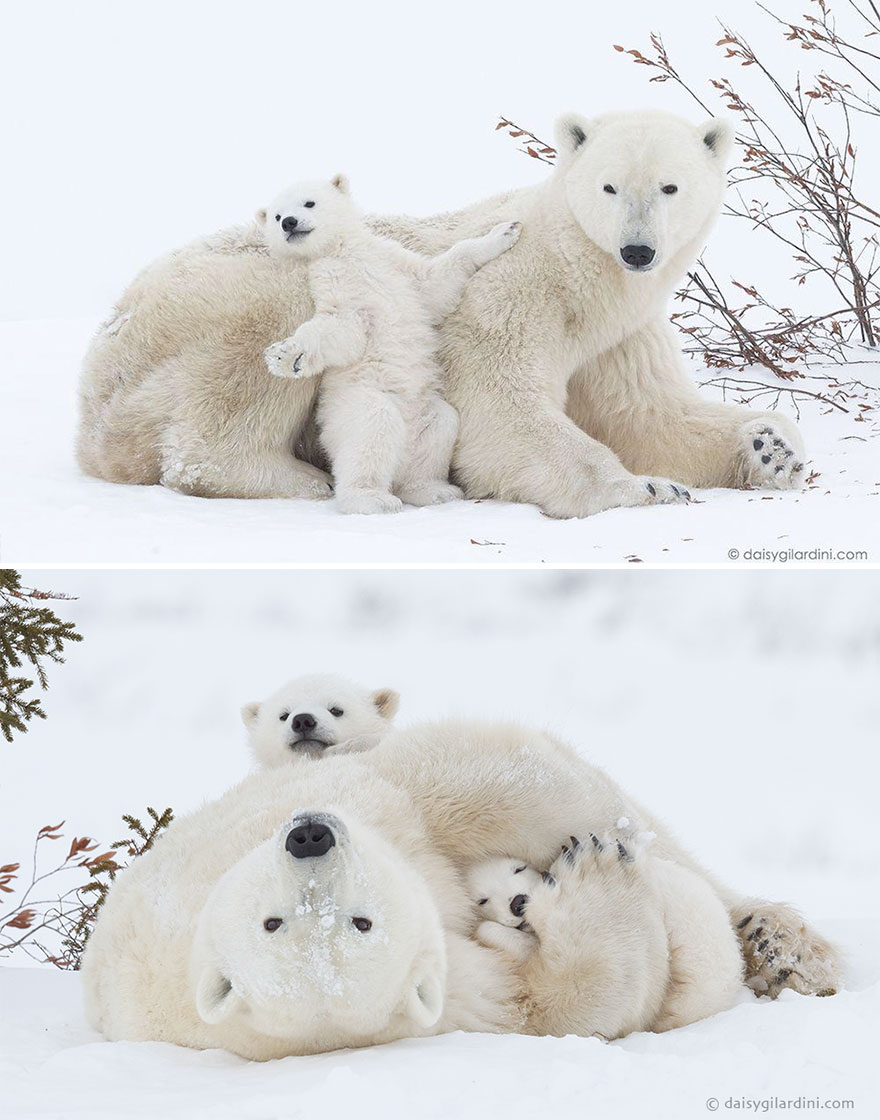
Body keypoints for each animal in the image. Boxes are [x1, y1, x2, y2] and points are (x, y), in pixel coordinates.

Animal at [251, 173, 515, 512]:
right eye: (276, 215)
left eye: (309, 202)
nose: (289, 223)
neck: (343, 252)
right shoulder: (330, 282)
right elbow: (342, 328)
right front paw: (287, 356)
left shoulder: (392, 262)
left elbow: (434, 282)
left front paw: (505, 231)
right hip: (356, 404)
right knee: (371, 432)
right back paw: (372, 498)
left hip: (425, 411)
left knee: (439, 427)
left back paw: (433, 490)